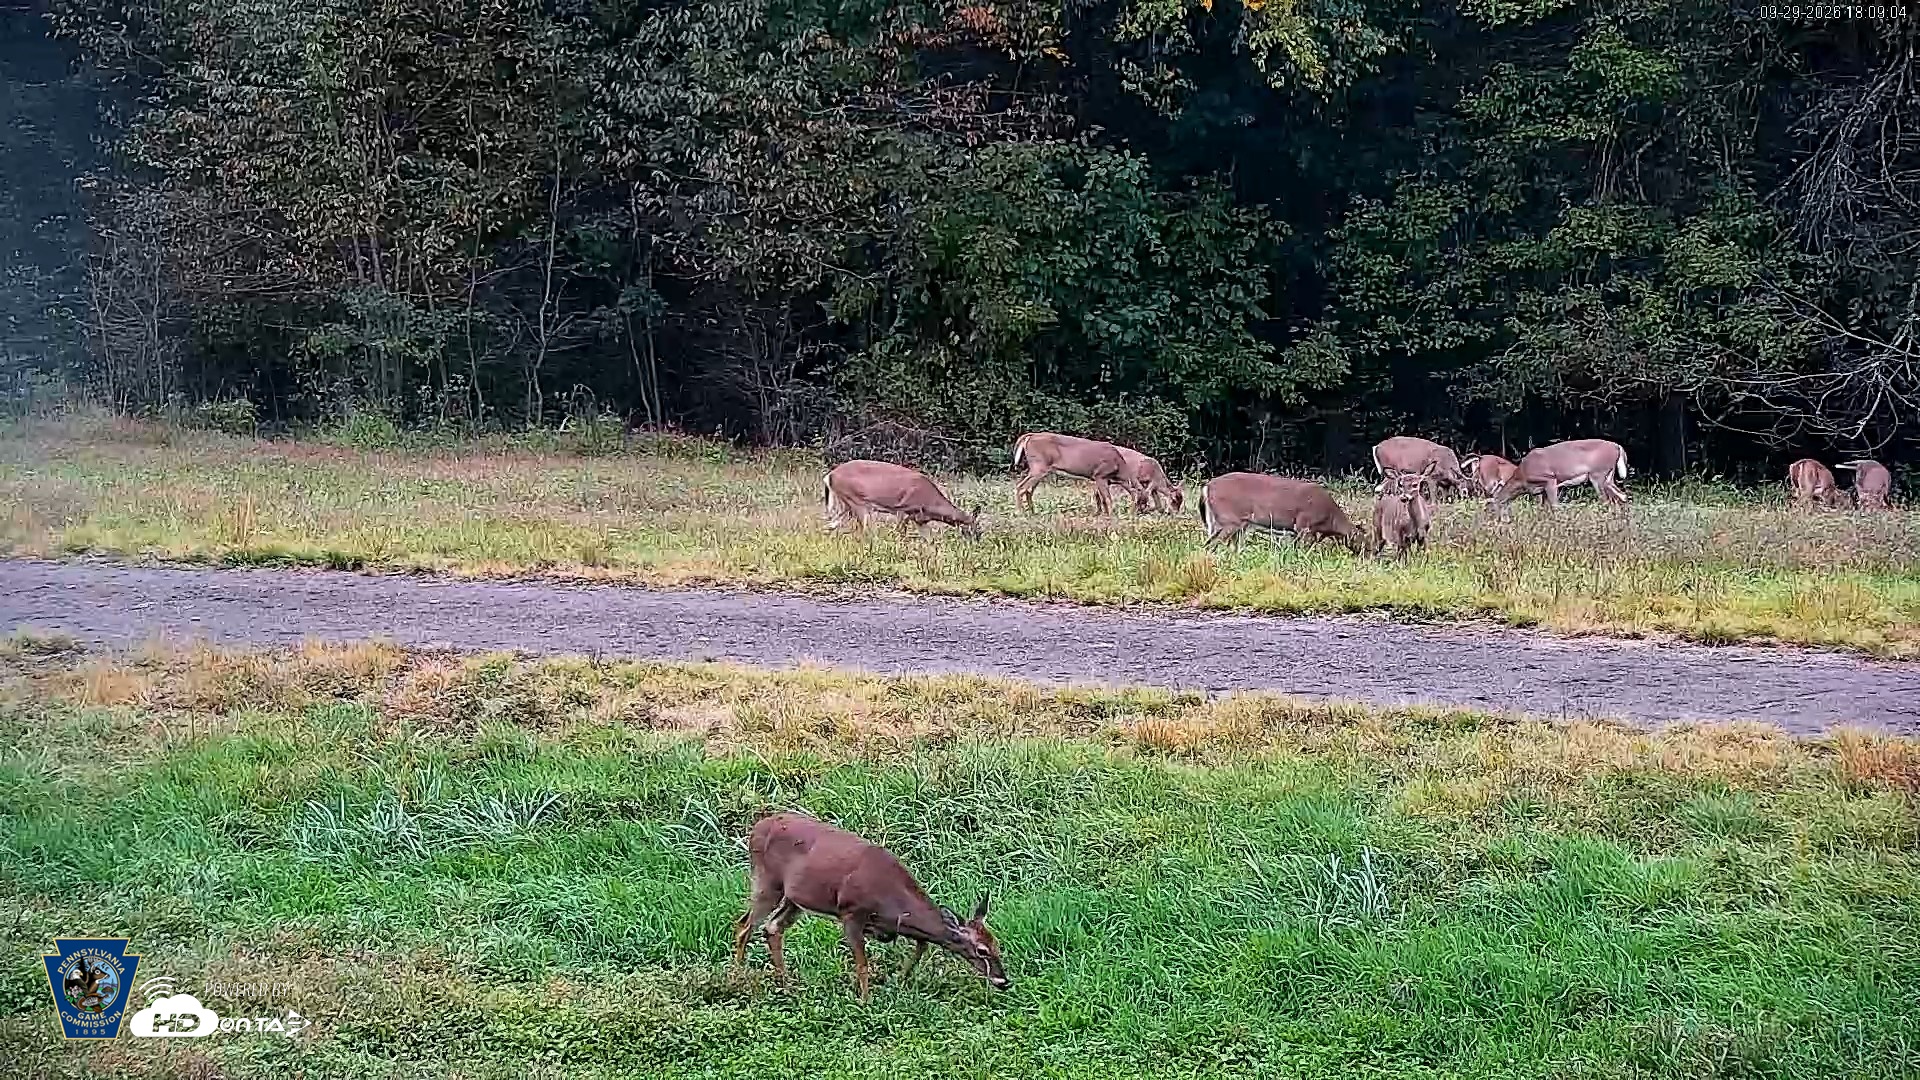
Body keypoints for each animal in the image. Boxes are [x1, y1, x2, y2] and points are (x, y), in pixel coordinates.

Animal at [733, 813, 1010, 1003]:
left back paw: (787, 985)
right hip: (767, 881)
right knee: (744, 925)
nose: (1003, 981)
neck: (892, 900)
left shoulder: (887, 927)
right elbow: (863, 964)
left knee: (772, 927)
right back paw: (738, 976)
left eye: (997, 944)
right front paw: (866, 1001)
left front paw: (899, 981)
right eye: (982, 950)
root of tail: (755, 829)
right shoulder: (852, 913)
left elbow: (921, 945)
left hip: (794, 899)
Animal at [824, 460, 982, 540]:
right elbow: (900, 534)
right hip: (857, 501)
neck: (930, 502)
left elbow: (929, 540)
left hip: (846, 503)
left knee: (831, 524)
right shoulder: (902, 509)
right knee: (864, 530)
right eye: (976, 529)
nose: (977, 541)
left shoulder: (920, 519)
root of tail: (830, 475)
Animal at [1198, 472, 1365, 552]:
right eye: (1365, 542)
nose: (1369, 558)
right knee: (1212, 543)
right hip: (1229, 520)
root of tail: (1207, 487)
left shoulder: (1298, 532)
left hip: (1230, 524)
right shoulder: (1304, 526)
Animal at [1486, 439, 1629, 519]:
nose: (1495, 521)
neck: (1522, 477)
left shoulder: (1550, 479)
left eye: (1492, 508)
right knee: (1622, 496)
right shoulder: (1538, 491)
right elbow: (1542, 509)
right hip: (1608, 477)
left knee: (1606, 501)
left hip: (1597, 474)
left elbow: (1555, 506)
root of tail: (1618, 446)